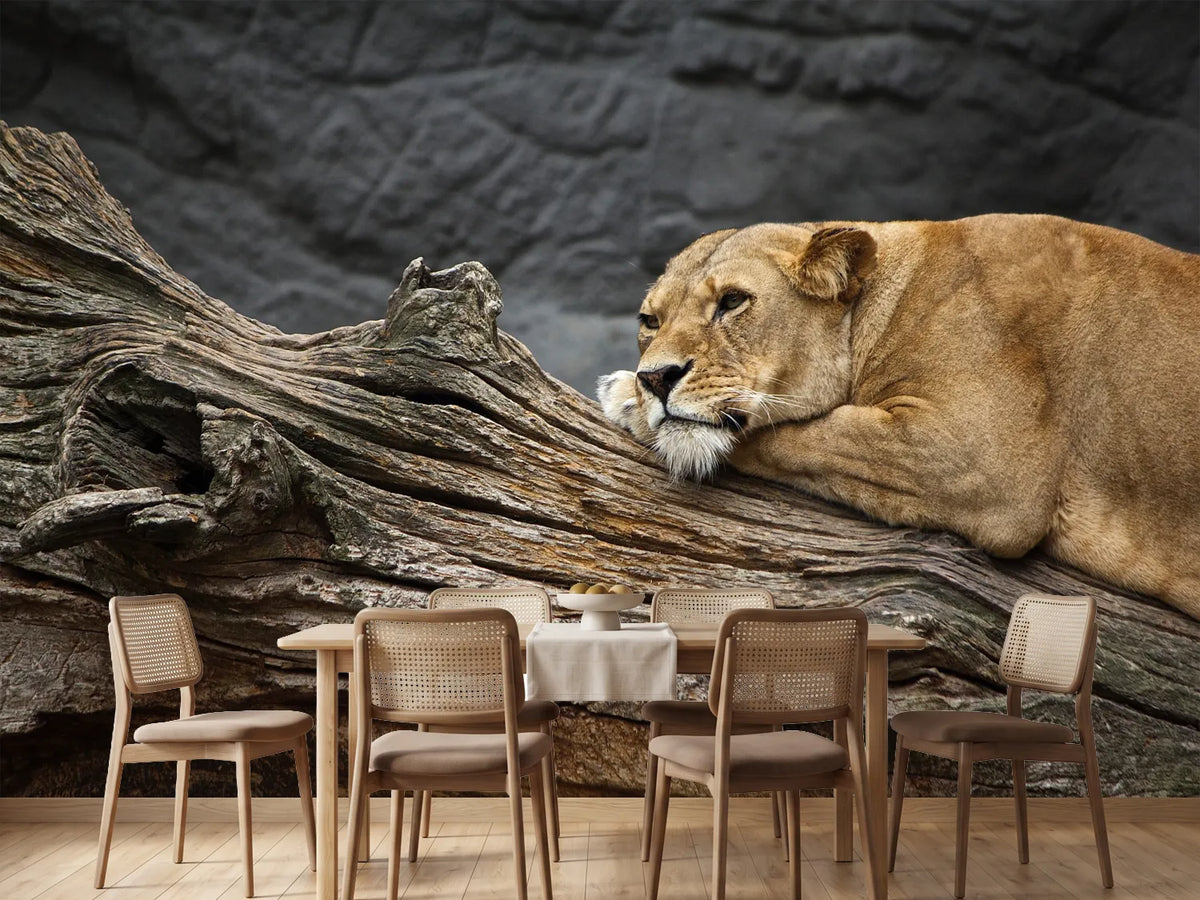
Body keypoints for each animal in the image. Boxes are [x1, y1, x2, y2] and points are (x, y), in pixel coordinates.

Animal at [598, 214, 1200, 619]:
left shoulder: (982, 460)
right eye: (649, 320)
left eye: (731, 302)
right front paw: (629, 390)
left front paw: (626, 398)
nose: (656, 378)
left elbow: (809, 432)